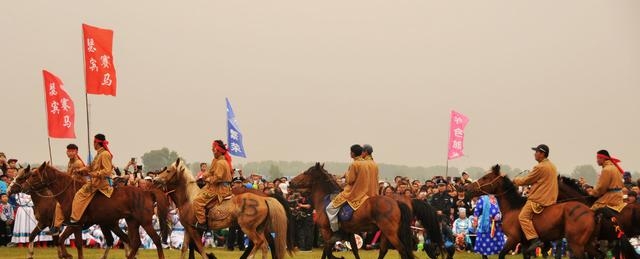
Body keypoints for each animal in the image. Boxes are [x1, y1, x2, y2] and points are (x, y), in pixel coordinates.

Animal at [22, 164, 169, 259]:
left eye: (33, 175)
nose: (24, 187)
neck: (69, 193)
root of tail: (147, 192)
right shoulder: (71, 224)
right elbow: (61, 240)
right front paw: (66, 255)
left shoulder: (76, 224)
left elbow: (76, 244)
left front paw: (68, 255)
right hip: (131, 222)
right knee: (135, 242)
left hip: (145, 222)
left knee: (156, 240)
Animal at [152, 159, 296, 259]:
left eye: (168, 171)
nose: (154, 180)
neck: (189, 199)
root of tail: (265, 198)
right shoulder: (189, 229)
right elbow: (185, 248)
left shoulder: (195, 229)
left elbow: (199, 248)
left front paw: (210, 256)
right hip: (259, 228)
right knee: (264, 245)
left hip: (248, 228)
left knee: (259, 242)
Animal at [288, 164, 416, 259]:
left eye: (306, 173)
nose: (290, 182)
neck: (324, 199)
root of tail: (396, 202)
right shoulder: (348, 234)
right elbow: (353, 250)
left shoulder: (326, 231)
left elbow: (328, 251)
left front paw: (339, 257)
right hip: (385, 232)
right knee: (383, 250)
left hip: (390, 232)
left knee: (402, 250)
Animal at [464, 166, 600, 259]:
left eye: (485, 178)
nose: (467, 189)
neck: (513, 207)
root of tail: (591, 212)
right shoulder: (525, 244)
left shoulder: (512, 239)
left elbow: (501, 255)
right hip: (586, 243)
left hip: (577, 244)